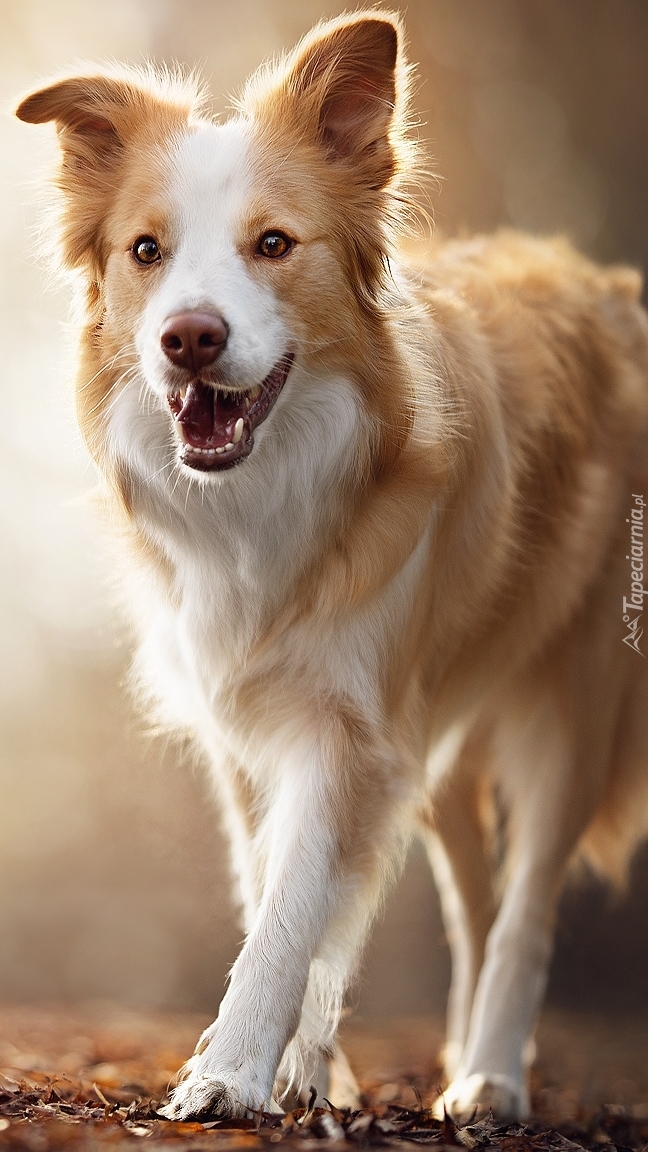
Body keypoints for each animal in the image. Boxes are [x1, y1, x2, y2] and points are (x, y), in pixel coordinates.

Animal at [13, 9, 645, 1119]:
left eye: (273, 244)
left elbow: (294, 903)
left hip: (571, 702)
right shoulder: (254, 725)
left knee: (524, 909)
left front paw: (231, 1071)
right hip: (439, 742)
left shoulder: (346, 723)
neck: (261, 502)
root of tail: (604, 280)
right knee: (472, 905)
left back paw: (492, 1077)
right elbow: (273, 886)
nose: (188, 338)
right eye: (146, 252)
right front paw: (300, 1066)